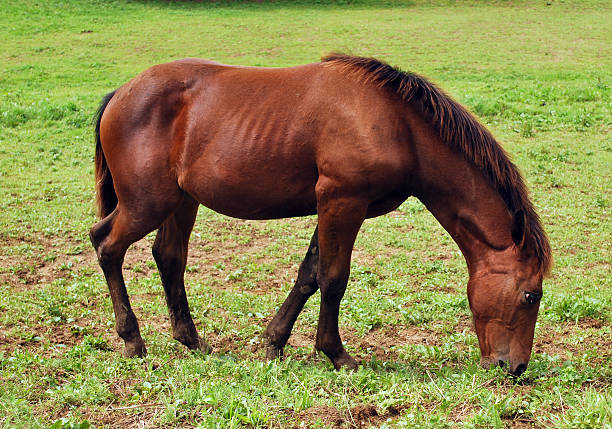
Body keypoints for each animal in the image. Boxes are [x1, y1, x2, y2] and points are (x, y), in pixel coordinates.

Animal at [92, 53, 556, 374]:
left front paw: (274, 342)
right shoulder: (342, 201)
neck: (397, 124)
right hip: (146, 204)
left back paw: (190, 340)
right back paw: (132, 340)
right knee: (106, 245)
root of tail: (121, 93)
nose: (515, 368)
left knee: (169, 258)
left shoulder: (334, 207)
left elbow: (309, 275)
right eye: (530, 295)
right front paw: (337, 354)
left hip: (181, 202)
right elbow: (333, 279)